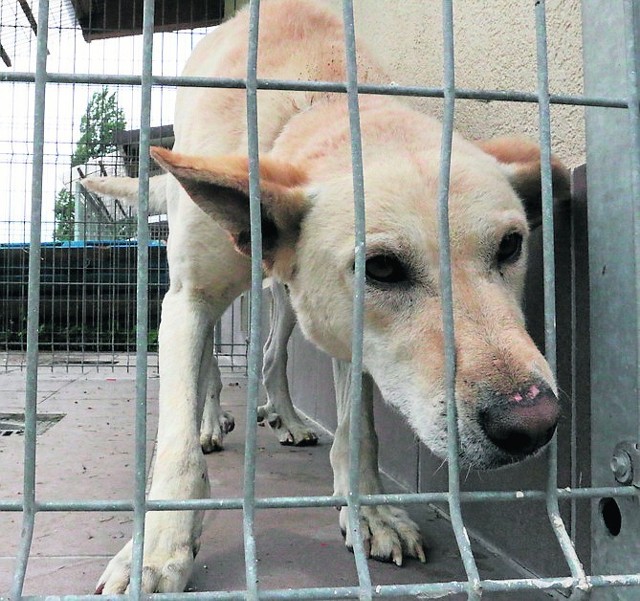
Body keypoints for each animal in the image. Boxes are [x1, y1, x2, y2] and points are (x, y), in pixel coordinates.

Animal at [81, 0, 568, 592]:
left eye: (511, 245)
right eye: (381, 267)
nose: (533, 423)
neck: (313, 99)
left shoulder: (352, 333)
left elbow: (358, 430)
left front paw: (369, 510)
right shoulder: (188, 299)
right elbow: (175, 446)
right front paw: (157, 550)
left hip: (291, 300)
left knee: (271, 355)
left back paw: (287, 418)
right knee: (211, 370)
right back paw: (211, 422)